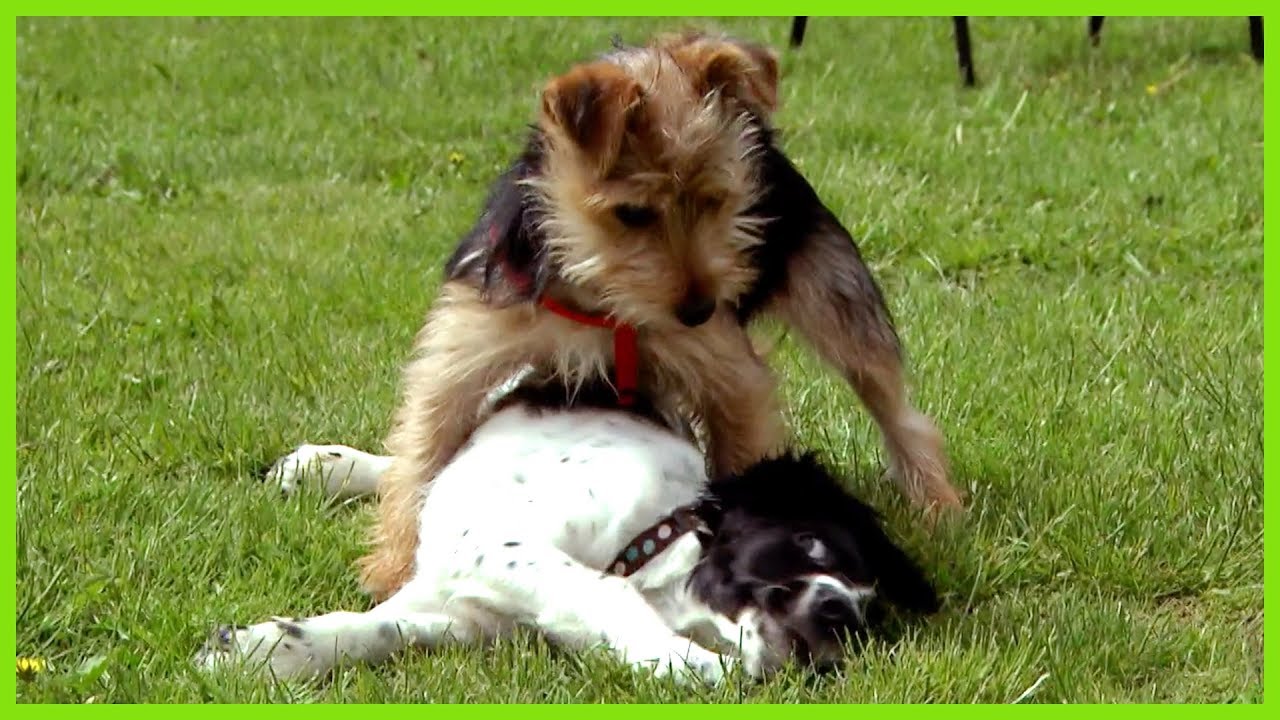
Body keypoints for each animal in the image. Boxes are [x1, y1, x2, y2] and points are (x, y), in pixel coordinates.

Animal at [199, 379, 942, 681]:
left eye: (874, 610)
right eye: (812, 544)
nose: (843, 613)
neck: (653, 543)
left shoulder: (462, 608)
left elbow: (377, 630)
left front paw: (259, 650)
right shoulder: (491, 545)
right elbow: (603, 591)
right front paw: (679, 659)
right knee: (413, 467)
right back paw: (327, 466)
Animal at [358, 32, 962, 599]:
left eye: (717, 201)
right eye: (632, 213)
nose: (698, 309)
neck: (601, 301)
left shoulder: (730, 375)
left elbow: (741, 452)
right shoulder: (465, 355)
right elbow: (422, 453)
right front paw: (393, 567)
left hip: (836, 295)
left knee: (895, 406)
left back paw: (938, 504)